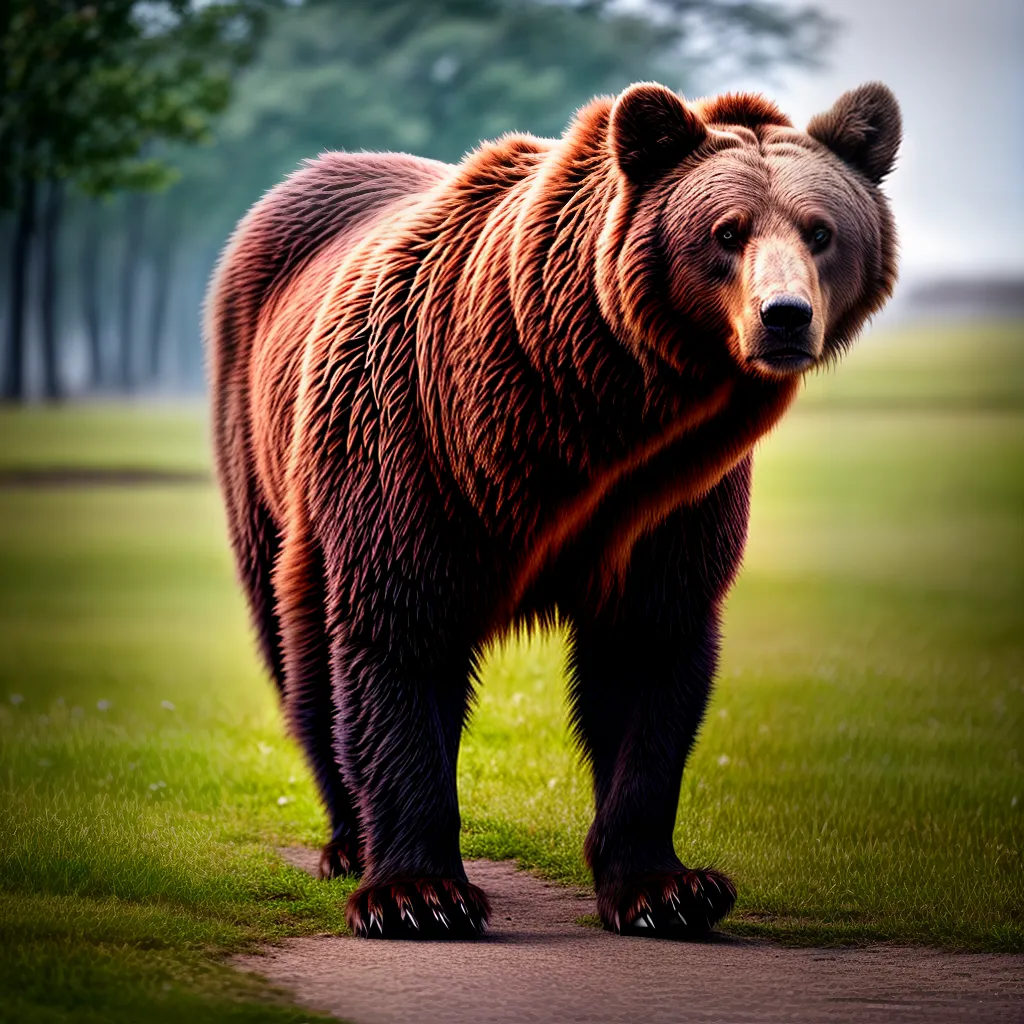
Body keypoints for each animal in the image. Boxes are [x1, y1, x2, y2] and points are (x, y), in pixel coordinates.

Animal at [207, 81, 900, 939]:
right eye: (727, 230)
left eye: (822, 230)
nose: (784, 315)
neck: (582, 416)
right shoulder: (412, 447)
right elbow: (397, 635)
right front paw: (418, 894)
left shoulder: (666, 502)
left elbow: (647, 653)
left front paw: (668, 888)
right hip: (268, 458)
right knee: (299, 647)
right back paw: (347, 840)